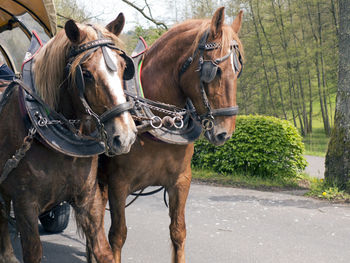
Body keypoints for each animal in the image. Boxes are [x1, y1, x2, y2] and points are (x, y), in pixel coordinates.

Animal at [0, 13, 137, 263]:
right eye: (86, 74)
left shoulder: (89, 198)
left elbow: (103, 250)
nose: (125, 136)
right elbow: (33, 252)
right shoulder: (25, 203)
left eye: (124, 68)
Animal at [97, 6, 242, 263]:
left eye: (238, 70)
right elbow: (118, 235)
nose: (224, 133)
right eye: (213, 71)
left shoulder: (180, 181)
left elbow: (178, 231)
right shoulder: (118, 183)